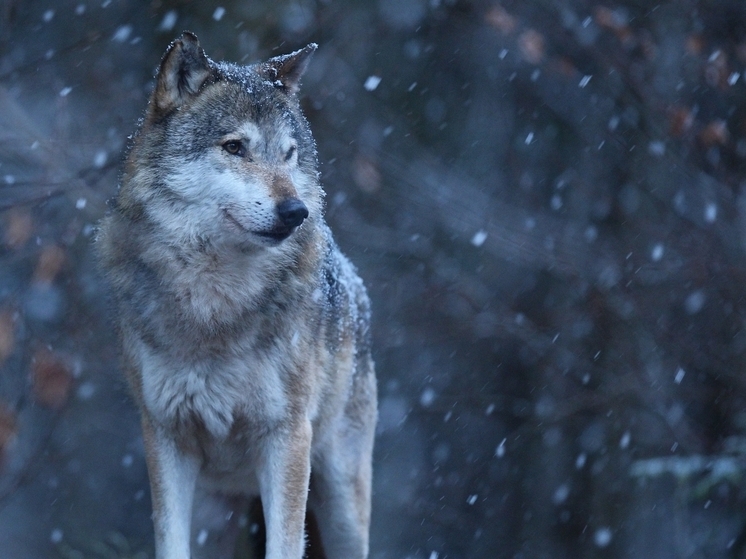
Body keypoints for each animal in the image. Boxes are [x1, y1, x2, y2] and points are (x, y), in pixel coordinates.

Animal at [97, 31, 378, 559]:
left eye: (289, 154)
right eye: (234, 147)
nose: (296, 211)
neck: (216, 302)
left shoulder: (286, 436)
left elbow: (285, 546)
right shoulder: (165, 436)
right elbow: (168, 542)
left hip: (342, 507)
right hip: (216, 516)